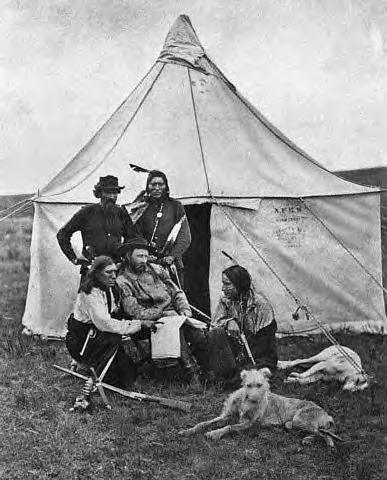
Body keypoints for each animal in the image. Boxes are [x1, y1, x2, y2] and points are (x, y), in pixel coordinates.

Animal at [179, 368, 340, 446]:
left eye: (260, 385)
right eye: (248, 385)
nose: (254, 401)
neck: (243, 401)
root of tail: (326, 414)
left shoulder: (249, 423)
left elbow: (230, 427)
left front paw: (215, 433)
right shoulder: (225, 416)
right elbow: (203, 423)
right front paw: (188, 431)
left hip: (300, 420)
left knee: (323, 434)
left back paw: (320, 441)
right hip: (292, 424)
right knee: (319, 432)